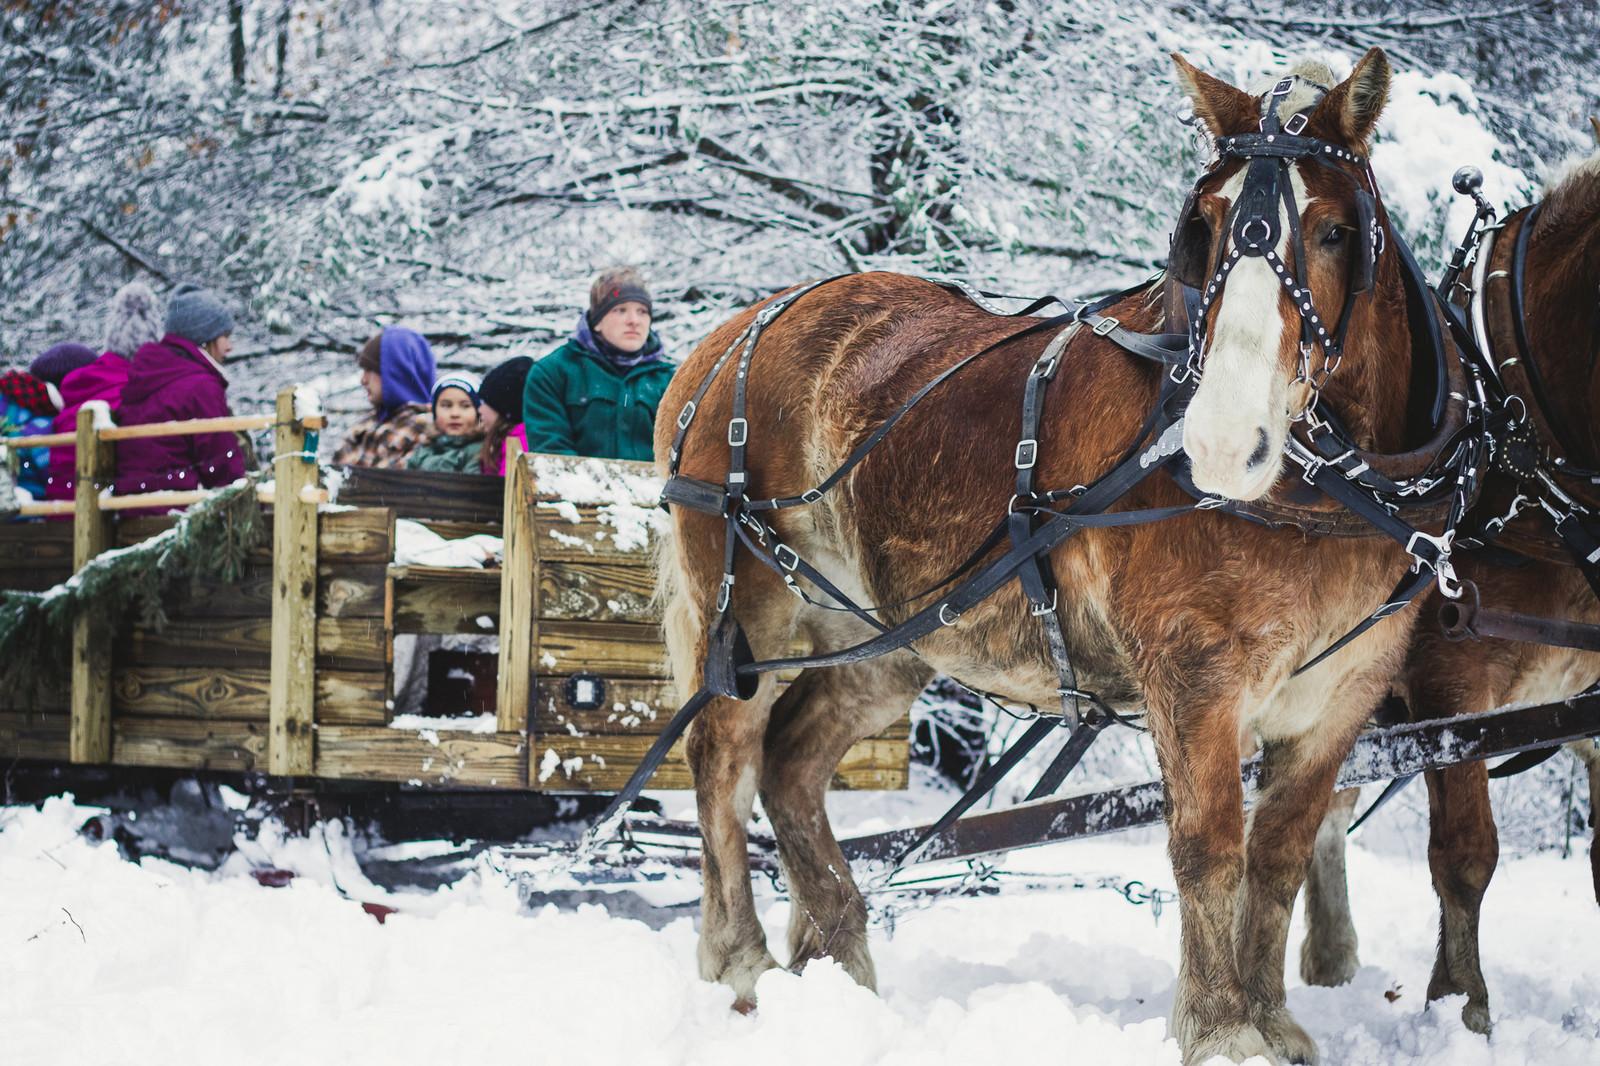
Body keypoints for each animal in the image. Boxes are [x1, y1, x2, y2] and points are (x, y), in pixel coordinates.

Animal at [662, 52, 1427, 1062]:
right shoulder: (1195, 673)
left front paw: (1272, 1021)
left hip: (887, 637)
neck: (1320, 495)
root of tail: (734, 328)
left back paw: (842, 962)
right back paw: (742, 962)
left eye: (1337, 230)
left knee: (791, 764)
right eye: (1205, 227)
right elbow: (1209, 845)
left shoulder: (1341, 694)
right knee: (725, 754)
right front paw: (1221, 1028)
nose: (1224, 443)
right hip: (753, 611)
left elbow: (1279, 853)